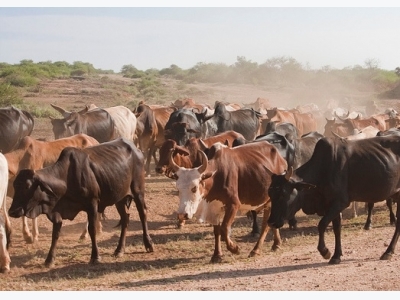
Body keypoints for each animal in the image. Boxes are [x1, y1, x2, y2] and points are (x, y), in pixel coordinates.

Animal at [8, 137, 155, 266]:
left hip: (138, 191)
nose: (12, 211)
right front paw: (49, 259)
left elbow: (92, 229)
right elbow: (55, 234)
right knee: (125, 218)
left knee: (143, 214)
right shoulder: (57, 212)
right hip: (119, 198)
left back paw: (148, 244)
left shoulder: (92, 204)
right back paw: (119, 250)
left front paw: (95, 256)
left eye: (27, 186)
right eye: (15, 186)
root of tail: (136, 149)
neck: (66, 178)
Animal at [266, 136, 400, 264]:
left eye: (283, 194)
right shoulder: (332, 205)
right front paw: (336, 256)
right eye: (270, 194)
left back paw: (388, 251)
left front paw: (325, 251)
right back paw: (389, 251)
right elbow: (337, 229)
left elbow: (322, 224)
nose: (271, 222)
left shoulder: (340, 203)